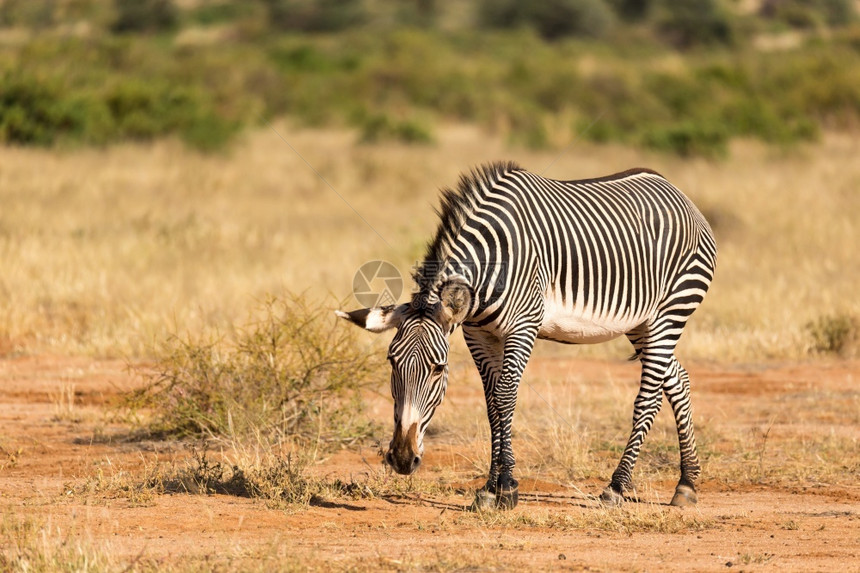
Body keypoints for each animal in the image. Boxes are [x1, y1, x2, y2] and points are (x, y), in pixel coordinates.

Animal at [340, 162, 716, 510]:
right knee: (678, 379)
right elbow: (492, 405)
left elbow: (506, 398)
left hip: (672, 309)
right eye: (391, 363)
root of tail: (676, 191)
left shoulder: (523, 326)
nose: (403, 460)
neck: (491, 263)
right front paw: (491, 488)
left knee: (649, 397)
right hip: (642, 323)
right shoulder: (478, 335)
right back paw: (687, 484)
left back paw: (616, 487)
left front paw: (505, 488)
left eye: (438, 369)